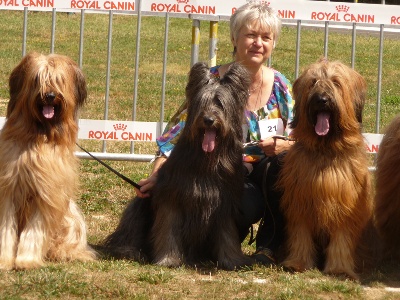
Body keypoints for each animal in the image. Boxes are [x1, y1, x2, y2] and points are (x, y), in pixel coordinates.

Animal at [0, 51, 96, 270]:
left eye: (59, 80)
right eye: (38, 79)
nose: (50, 96)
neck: (39, 136)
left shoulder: (48, 192)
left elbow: (35, 229)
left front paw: (26, 261)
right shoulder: (8, 188)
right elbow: (6, 228)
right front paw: (3, 260)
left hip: (71, 217)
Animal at [102, 62, 253, 270]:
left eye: (220, 103)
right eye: (202, 103)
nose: (208, 120)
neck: (206, 161)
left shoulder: (224, 202)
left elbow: (227, 234)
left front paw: (232, 261)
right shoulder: (172, 198)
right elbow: (168, 230)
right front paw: (168, 260)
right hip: (140, 205)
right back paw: (130, 250)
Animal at [276, 59, 374, 280]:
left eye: (336, 82)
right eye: (313, 82)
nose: (321, 100)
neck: (325, 150)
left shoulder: (345, 205)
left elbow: (342, 239)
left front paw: (339, 269)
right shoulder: (301, 201)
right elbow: (301, 235)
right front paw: (297, 263)